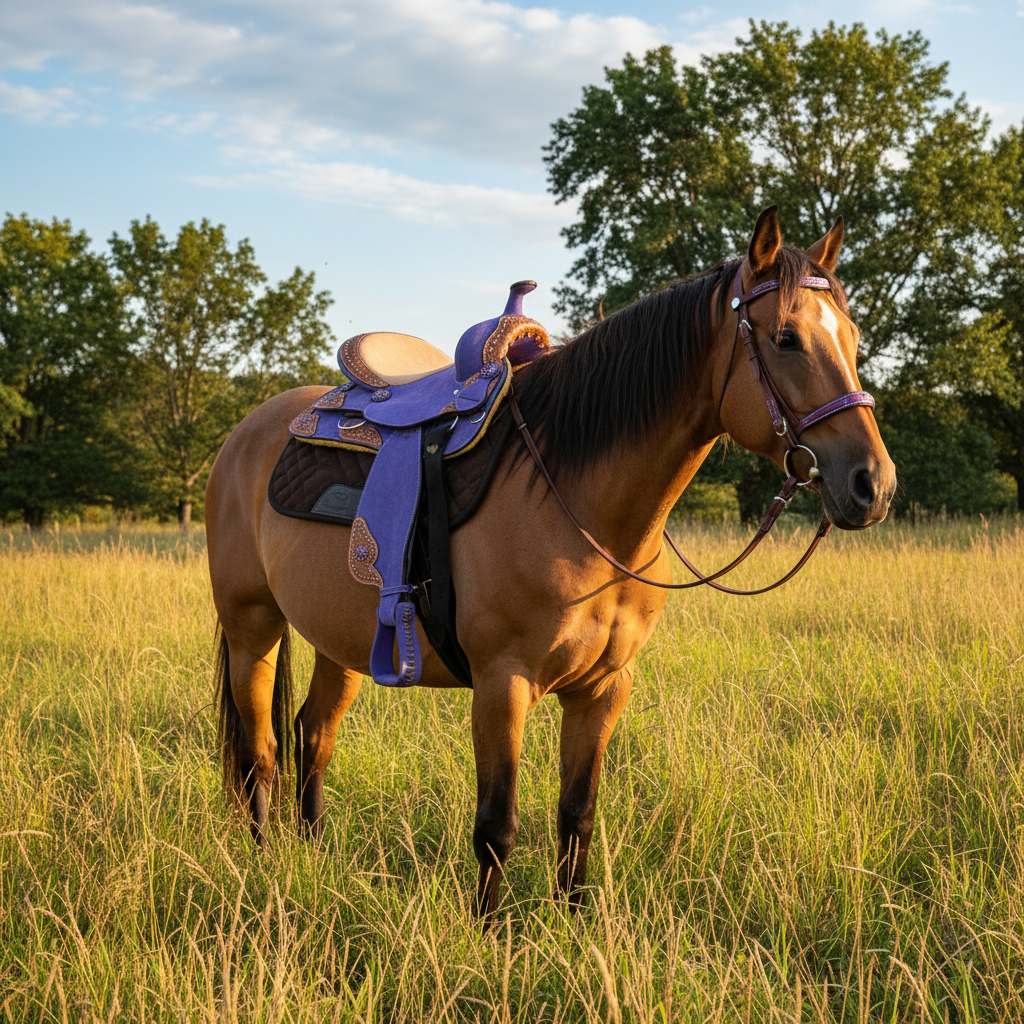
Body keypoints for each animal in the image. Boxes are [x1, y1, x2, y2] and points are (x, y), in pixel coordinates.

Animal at [205, 207, 896, 917]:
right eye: (786, 338)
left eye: (852, 336)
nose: (873, 484)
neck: (574, 499)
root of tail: (248, 431)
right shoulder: (501, 684)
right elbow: (497, 827)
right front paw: (487, 932)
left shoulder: (603, 688)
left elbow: (577, 814)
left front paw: (572, 920)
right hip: (251, 627)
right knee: (259, 752)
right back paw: (264, 862)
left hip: (341, 641)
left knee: (313, 736)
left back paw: (312, 854)